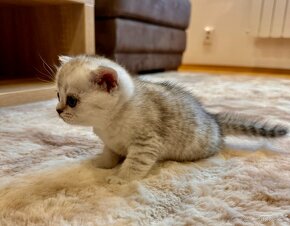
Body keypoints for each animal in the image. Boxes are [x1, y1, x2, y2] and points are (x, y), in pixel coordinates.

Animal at [55, 55, 288, 185]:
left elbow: (133, 165)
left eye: (72, 101)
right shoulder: (111, 143)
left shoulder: (145, 144)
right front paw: (102, 163)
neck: (109, 122)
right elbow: (109, 154)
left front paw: (121, 178)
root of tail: (214, 119)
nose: (57, 110)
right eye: (57, 95)